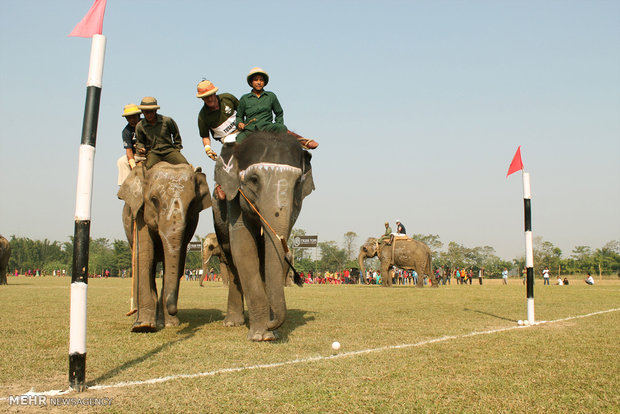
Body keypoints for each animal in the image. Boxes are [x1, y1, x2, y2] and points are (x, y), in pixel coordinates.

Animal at [117, 163, 212, 332]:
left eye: (192, 203)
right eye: (154, 200)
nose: (174, 309)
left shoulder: (190, 224)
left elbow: (178, 262)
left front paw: (170, 324)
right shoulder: (140, 215)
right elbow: (145, 256)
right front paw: (143, 326)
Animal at [213, 131, 314, 342]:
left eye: (297, 183)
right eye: (253, 180)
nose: (271, 322)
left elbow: (272, 253)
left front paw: (270, 333)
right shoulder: (234, 198)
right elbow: (243, 248)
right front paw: (261, 335)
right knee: (231, 260)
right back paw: (232, 322)